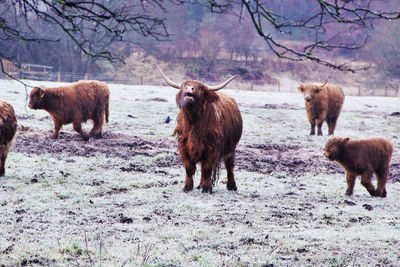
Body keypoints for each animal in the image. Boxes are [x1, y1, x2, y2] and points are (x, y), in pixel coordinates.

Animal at [159, 67, 241, 195]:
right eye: (184, 85)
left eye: (201, 88)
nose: (189, 88)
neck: (193, 122)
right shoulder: (183, 146)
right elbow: (189, 169)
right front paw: (187, 187)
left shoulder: (212, 148)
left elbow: (207, 169)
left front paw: (207, 189)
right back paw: (199, 185)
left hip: (231, 147)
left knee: (229, 165)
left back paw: (232, 186)